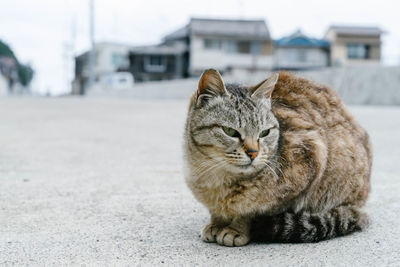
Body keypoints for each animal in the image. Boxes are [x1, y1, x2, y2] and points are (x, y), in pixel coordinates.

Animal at [184, 69, 372, 247]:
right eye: (230, 131)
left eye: (264, 132)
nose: (253, 152)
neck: (217, 177)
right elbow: (217, 211)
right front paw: (216, 223)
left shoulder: (313, 157)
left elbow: (252, 209)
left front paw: (236, 229)